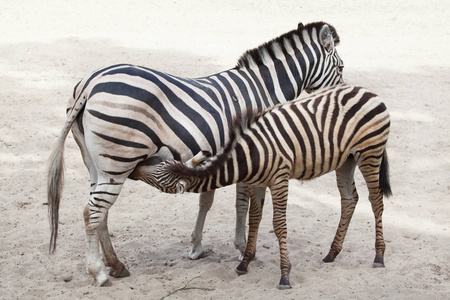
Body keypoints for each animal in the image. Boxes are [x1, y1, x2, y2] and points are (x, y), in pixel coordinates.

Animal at [47, 21, 342, 286]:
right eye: (340, 67)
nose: (339, 95)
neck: (263, 89)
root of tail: (91, 83)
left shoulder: (218, 156)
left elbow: (206, 201)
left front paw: (197, 247)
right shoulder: (251, 152)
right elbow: (242, 204)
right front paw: (242, 247)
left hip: (97, 165)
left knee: (100, 213)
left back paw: (116, 265)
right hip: (118, 162)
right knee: (93, 212)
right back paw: (99, 272)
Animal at [138, 84, 394, 288]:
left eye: (158, 177)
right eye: (161, 163)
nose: (136, 166)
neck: (249, 156)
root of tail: (367, 91)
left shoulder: (279, 179)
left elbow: (278, 225)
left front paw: (284, 276)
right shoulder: (257, 183)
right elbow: (254, 220)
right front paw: (244, 263)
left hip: (370, 152)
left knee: (375, 200)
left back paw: (379, 256)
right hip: (346, 159)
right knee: (349, 199)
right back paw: (332, 253)